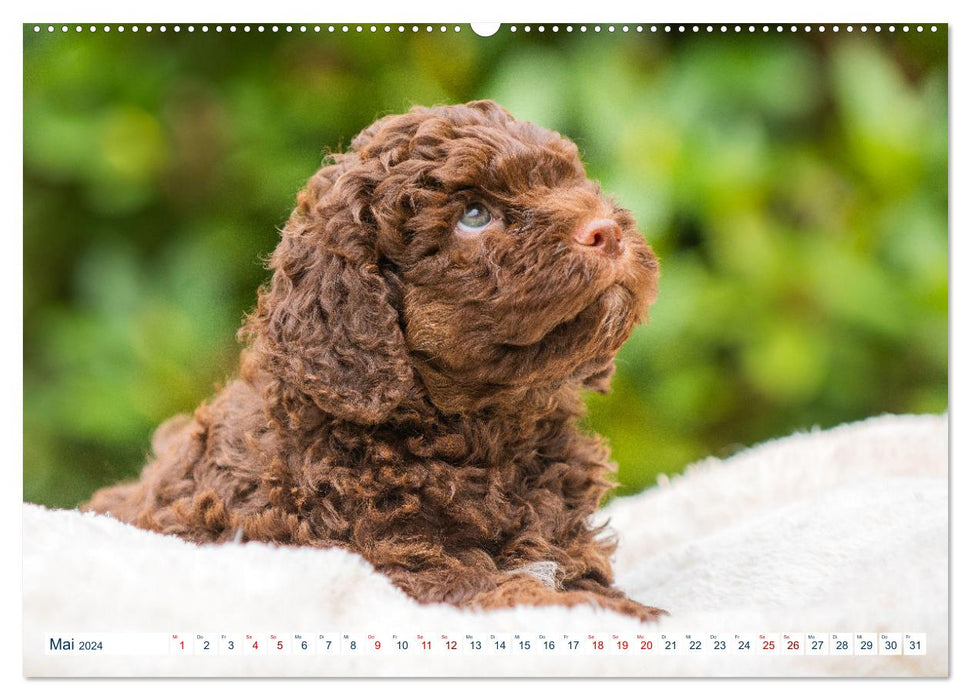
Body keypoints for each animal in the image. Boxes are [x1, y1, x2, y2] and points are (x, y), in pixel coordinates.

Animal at [83, 98, 664, 616]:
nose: (607, 230)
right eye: (474, 215)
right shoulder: (401, 563)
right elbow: (526, 593)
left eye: (571, 180)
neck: (490, 434)